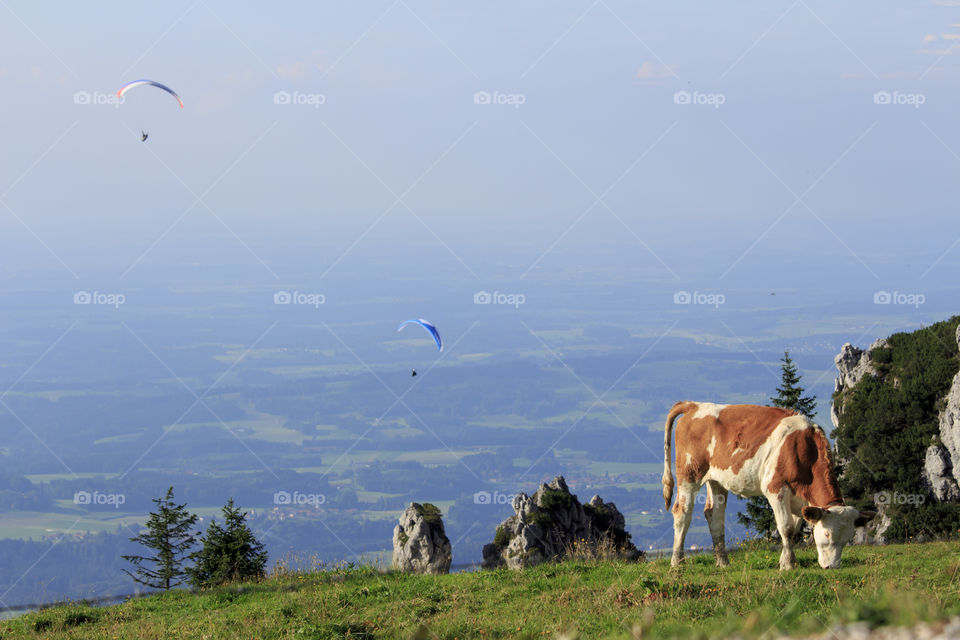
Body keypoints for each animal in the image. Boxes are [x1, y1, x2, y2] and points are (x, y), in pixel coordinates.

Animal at [662, 401, 875, 570]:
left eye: (848, 538)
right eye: (827, 534)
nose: (832, 566)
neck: (804, 450)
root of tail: (694, 405)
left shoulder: (800, 501)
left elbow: (794, 530)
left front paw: (785, 561)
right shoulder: (776, 488)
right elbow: (786, 528)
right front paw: (788, 565)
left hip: (717, 479)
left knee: (714, 516)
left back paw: (723, 562)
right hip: (689, 473)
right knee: (682, 513)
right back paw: (677, 562)